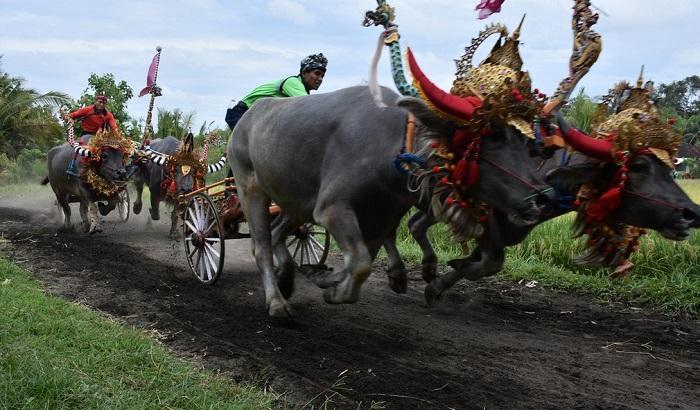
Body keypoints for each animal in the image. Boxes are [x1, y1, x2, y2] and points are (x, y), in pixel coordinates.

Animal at [227, 85, 556, 318]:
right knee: (261, 245)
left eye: (527, 143)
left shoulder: (382, 216)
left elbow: (362, 261)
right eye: (493, 137)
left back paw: (287, 278)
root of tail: (248, 117)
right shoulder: (332, 208)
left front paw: (326, 280)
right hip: (250, 187)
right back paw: (276, 302)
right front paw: (333, 289)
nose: (543, 197)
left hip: (294, 201)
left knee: (279, 233)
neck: (392, 148)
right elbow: (360, 263)